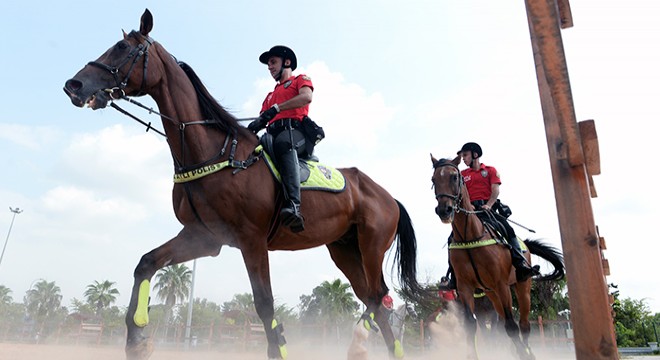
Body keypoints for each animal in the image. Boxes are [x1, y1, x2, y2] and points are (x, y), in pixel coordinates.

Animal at [63, 9, 428, 360]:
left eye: (122, 47)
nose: (73, 84)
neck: (215, 152)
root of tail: (388, 196)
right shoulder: (204, 237)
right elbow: (146, 263)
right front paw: (137, 338)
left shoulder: (252, 240)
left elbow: (264, 304)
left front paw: (278, 350)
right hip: (344, 249)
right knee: (374, 299)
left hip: (370, 246)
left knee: (378, 296)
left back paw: (359, 343)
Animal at [430, 155, 564, 360]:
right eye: (433, 179)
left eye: (454, 177)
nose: (444, 210)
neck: (470, 236)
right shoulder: (465, 288)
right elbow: (472, 326)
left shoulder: (501, 284)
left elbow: (511, 326)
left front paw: (522, 353)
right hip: (492, 293)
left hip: (521, 287)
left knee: (523, 325)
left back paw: (526, 351)